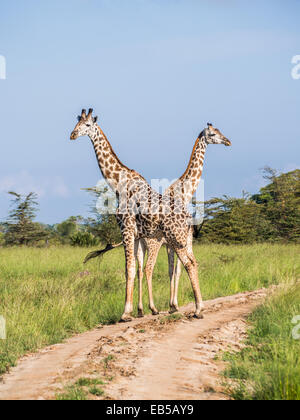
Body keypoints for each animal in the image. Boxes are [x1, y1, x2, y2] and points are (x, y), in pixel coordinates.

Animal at [84, 121, 232, 318]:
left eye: (219, 131)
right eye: (213, 134)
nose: (228, 141)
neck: (185, 191)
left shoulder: (177, 241)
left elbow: (173, 270)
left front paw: (172, 305)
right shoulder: (172, 242)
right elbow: (175, 270)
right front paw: (173, 306)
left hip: (146, 242)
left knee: (141, 268)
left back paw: (141, 310)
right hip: (153, 242)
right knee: (147, 268)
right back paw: (151, 309)